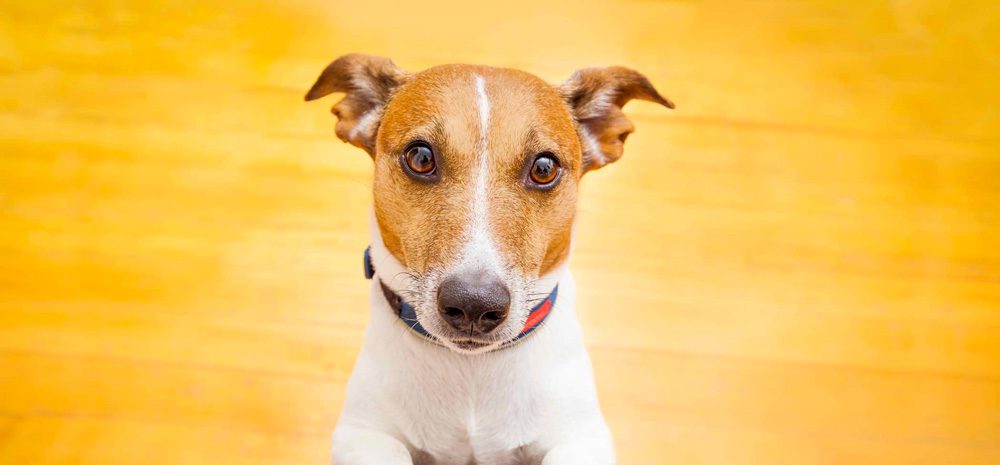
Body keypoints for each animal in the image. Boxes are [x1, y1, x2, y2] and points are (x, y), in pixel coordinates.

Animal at [306, 54, 672, 464]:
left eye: (544, 168)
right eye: (420, 157)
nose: (473, 304)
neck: (472, 371)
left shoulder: (581, 438)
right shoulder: (363, 432)